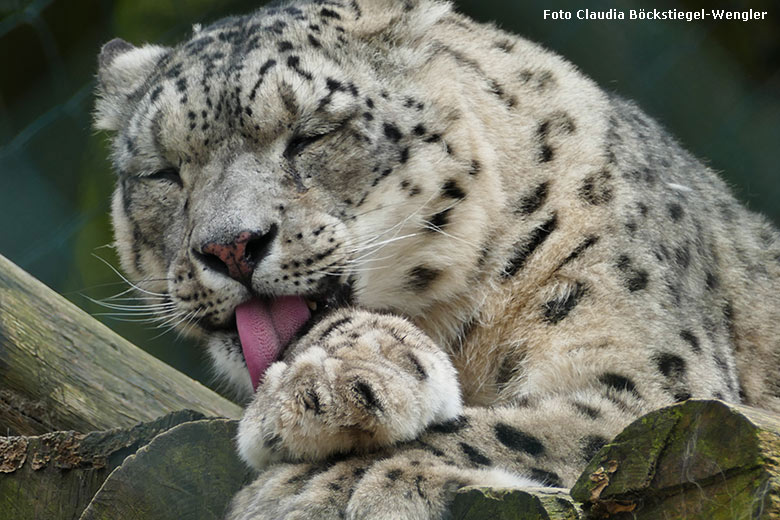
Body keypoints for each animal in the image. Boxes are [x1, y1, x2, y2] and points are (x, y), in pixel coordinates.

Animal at [93, 1, 780, 520]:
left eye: (311, 134)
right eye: (161, 172)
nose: (231, 246)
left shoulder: (656, 380)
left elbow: (528, 428)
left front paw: (322, 478)